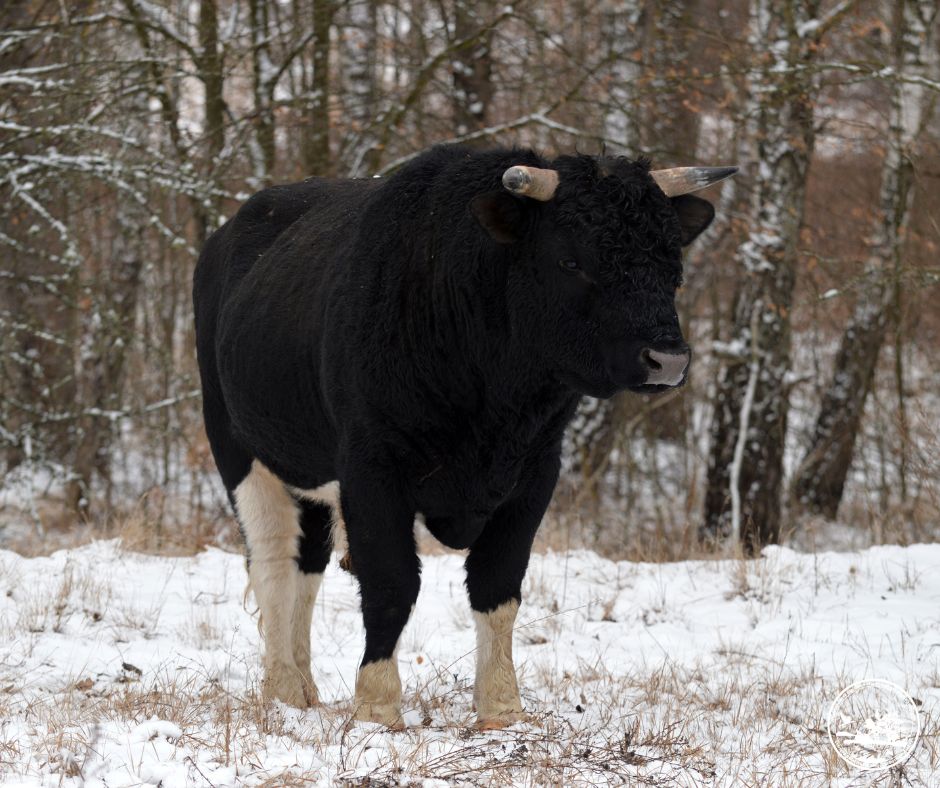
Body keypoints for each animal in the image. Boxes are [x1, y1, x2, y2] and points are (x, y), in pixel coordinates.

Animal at [193, 143, 736, 728]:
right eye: (572, 260)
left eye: (672, 265)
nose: (668, 359)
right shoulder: (371, 469)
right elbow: (391, 582)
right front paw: (377, 704)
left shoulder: (534, 474)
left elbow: (497, 585)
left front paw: (501, 705)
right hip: (238, 449)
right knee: (271, 563)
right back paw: (283, 687)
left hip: (307, 470)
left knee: (307, 565)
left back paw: (305, 685)